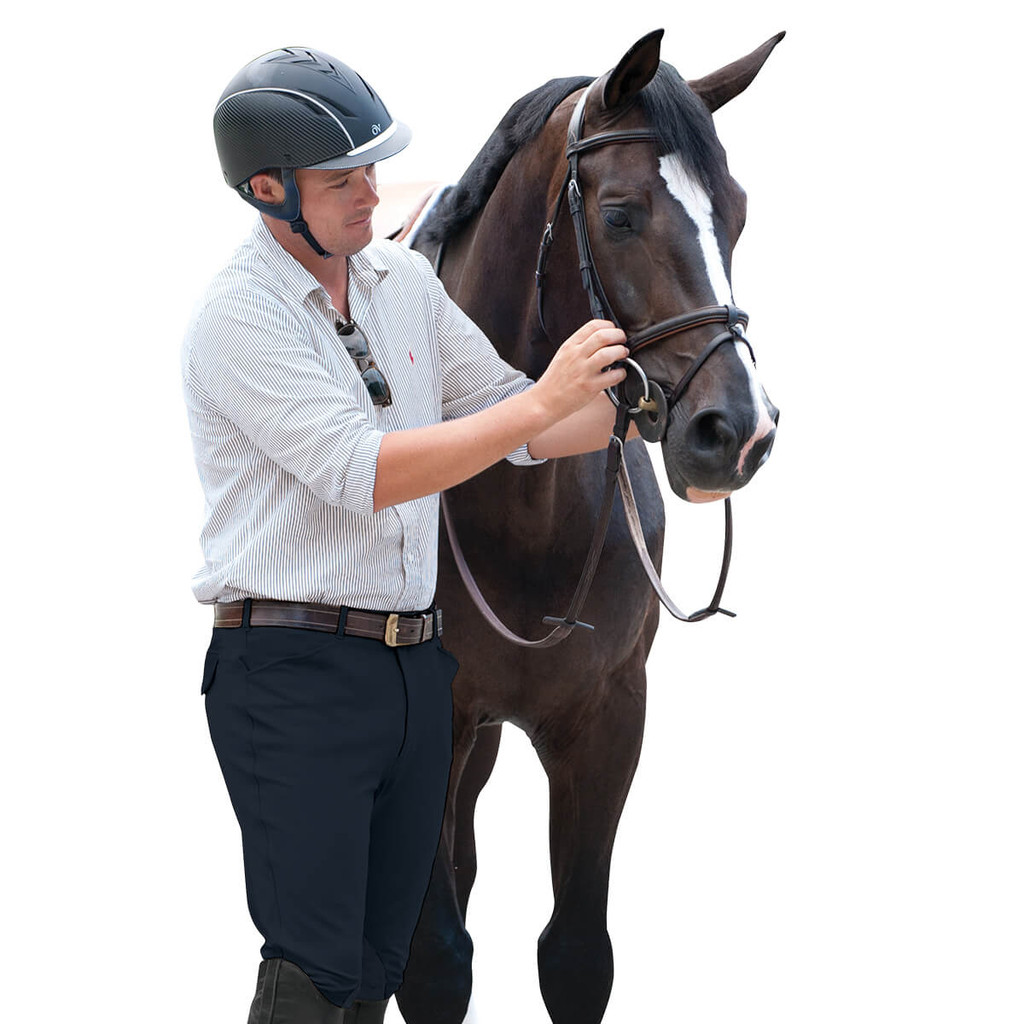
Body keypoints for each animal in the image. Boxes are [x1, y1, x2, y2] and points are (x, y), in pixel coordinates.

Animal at [396, 29, 783, 1024]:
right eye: (619, 215)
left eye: (736, 214)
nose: (738, 431)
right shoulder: (431, 724)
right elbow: (433, 962)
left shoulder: (608, 720)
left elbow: (576, 956)